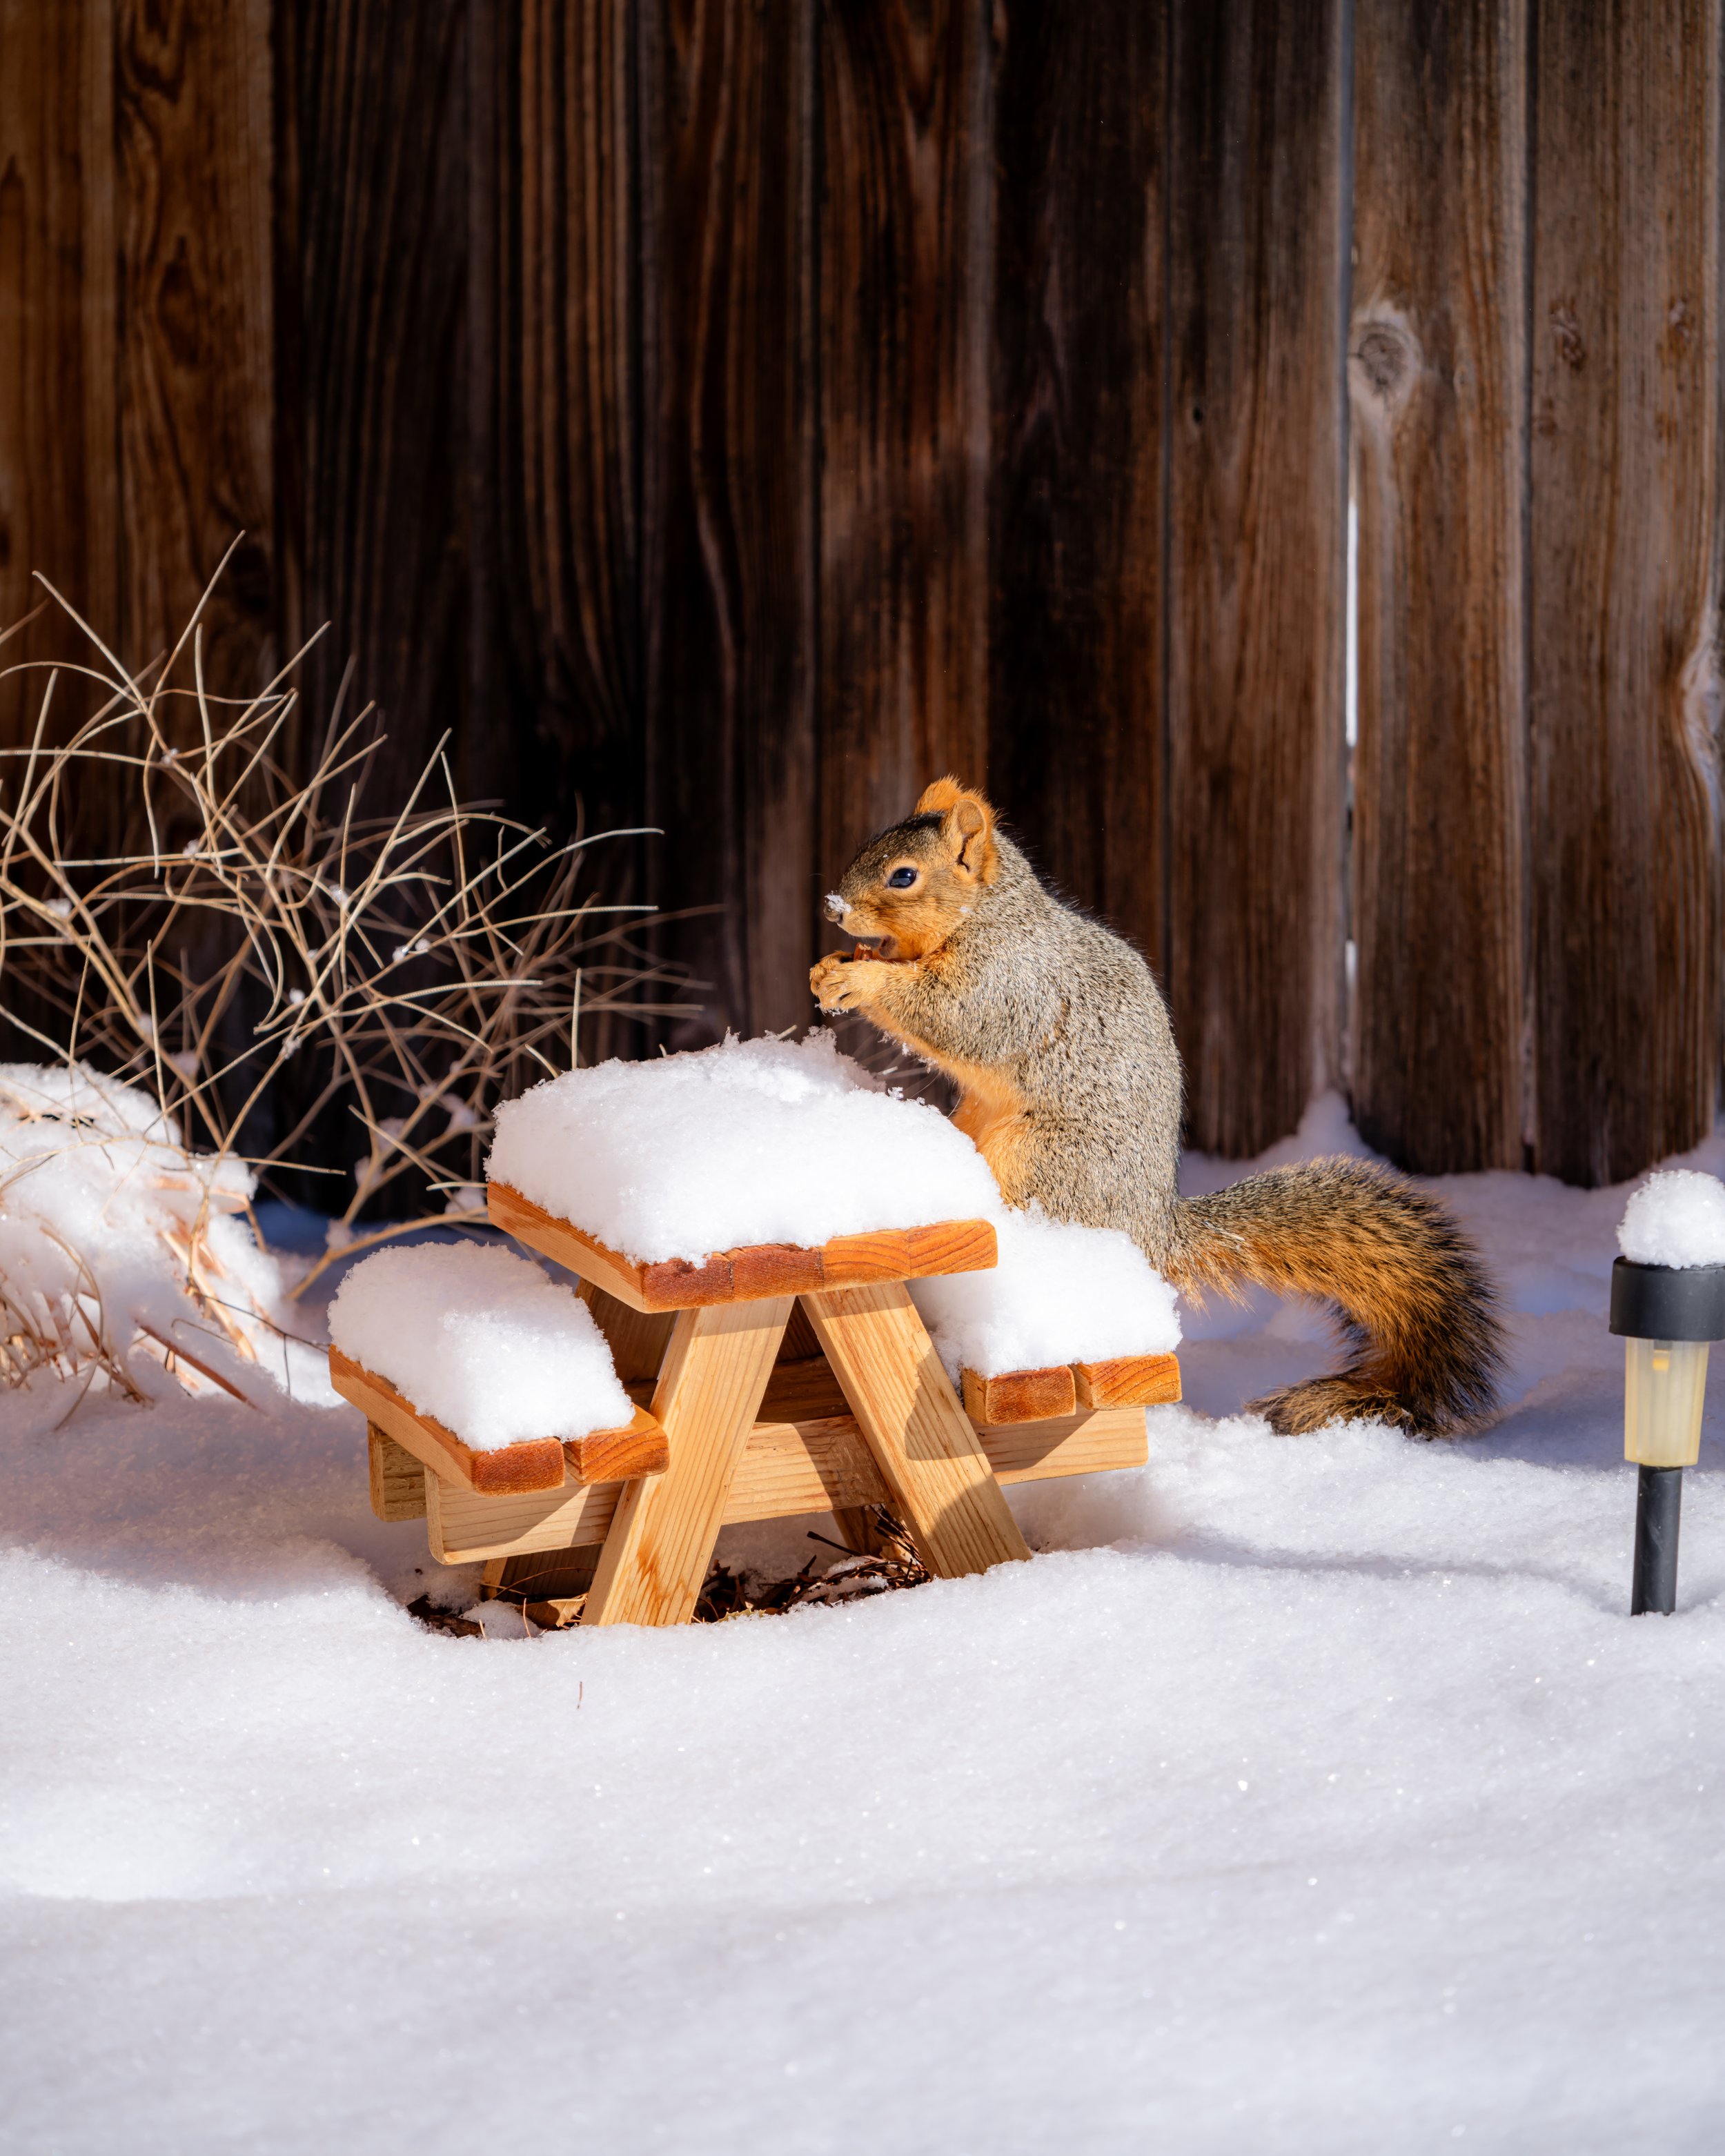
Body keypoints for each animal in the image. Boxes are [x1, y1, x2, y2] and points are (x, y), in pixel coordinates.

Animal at [810, 777, 1503, 1435]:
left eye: (904, 876)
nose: (834, 909)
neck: (989, 912)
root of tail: (1153, 1227)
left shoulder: (1010, 981)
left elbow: (955, 1016)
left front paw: (861, 978)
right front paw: (832, 967)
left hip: (1047, 1159)